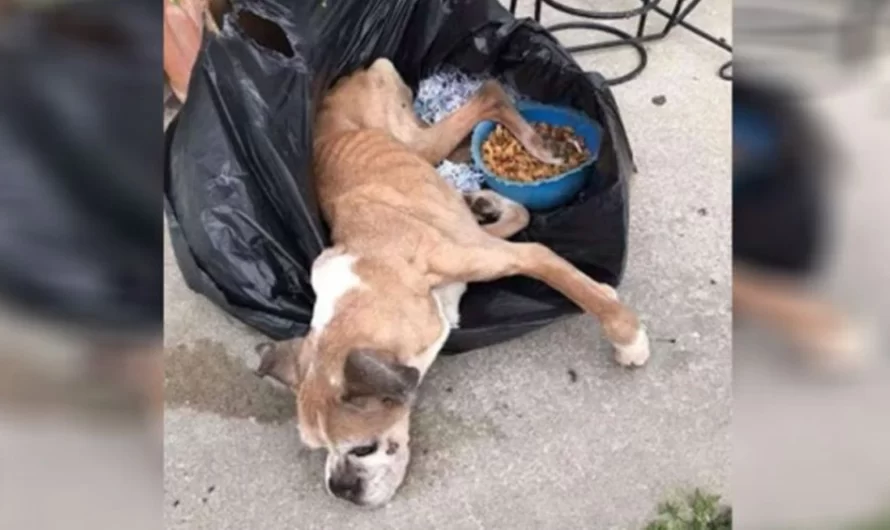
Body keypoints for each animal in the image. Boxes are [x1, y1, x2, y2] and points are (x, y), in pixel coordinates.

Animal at [253, 56, 648, 504]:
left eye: (363, 448)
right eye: (319, 449)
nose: (340, 488)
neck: (377, 277)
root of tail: (340, 82)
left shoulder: (513, 254)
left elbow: (573, 283)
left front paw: (629, 338)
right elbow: (522, 222)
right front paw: (487, 203)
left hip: (414, 140)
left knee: (488, 95)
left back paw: (537, 146)